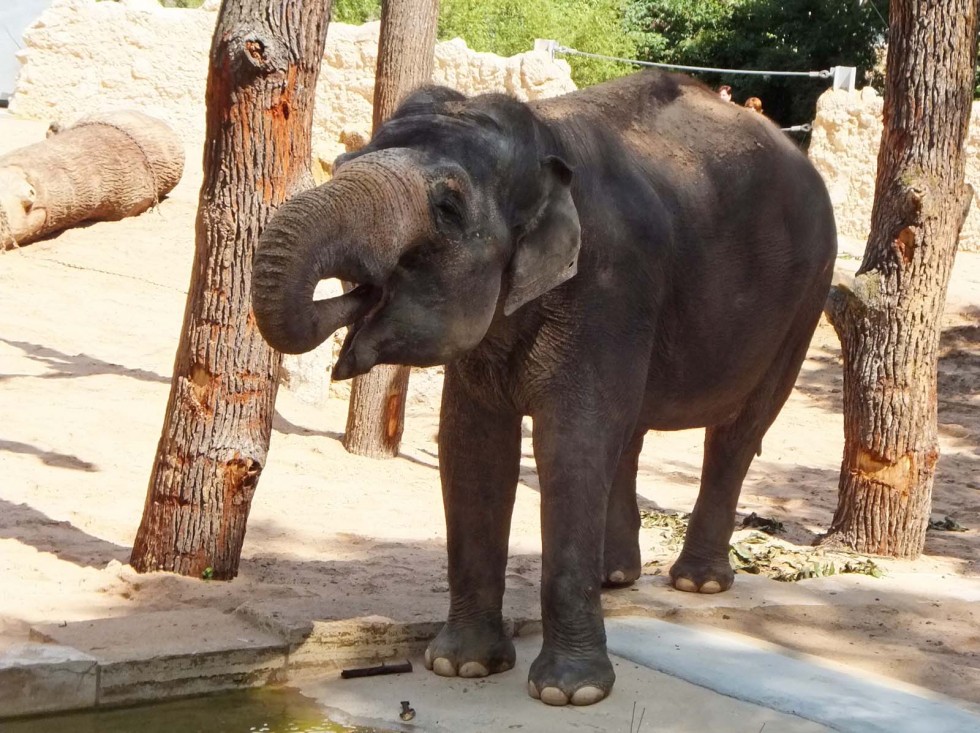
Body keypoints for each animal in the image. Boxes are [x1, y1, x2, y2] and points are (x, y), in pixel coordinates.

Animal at [251, 71, 836, 708]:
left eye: (448, 208)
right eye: (341, 163)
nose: (355, 296)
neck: (542, 138)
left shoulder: (608, 283)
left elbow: (570, 443)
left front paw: (568, 694)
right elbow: (472, 447)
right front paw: (461, 667)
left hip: (807, 296)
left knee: (737, 431)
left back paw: (697, 583)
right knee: (629, 433)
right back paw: (615, 577)